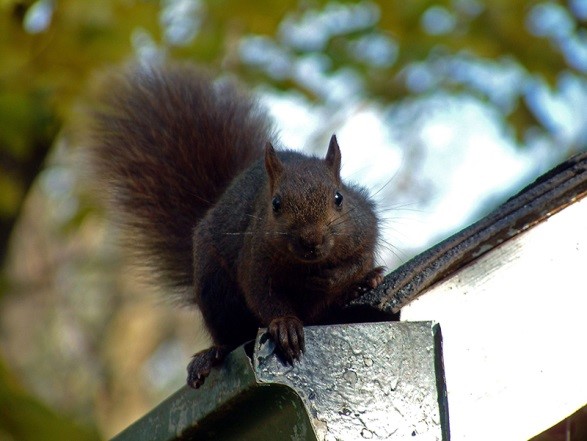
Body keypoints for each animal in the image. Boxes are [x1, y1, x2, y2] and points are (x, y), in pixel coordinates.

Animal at [85, 60, 384, 386]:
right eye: (275, 204)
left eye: (339, 198)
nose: (311, 241)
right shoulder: (255, 257)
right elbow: (261, 293)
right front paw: (285, 325)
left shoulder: (364, 225)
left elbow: (360, 258)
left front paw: (340, 278)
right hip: (213, 287)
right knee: (229, 335)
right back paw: (210, 355)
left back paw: (366, 282)